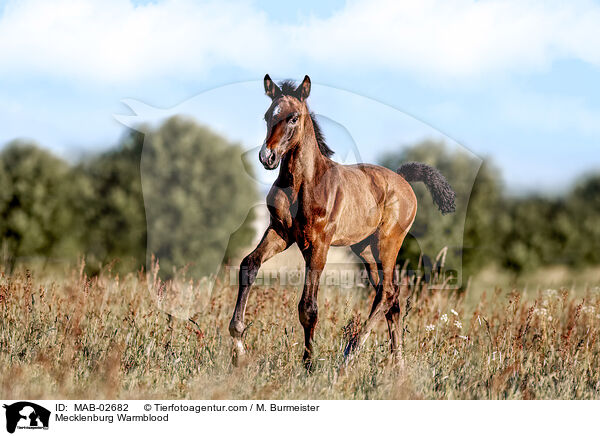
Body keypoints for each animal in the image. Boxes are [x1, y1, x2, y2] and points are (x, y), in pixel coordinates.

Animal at [230, 75, 454, 368]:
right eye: (268, 115)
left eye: (294, 118)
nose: (267, 157)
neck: (302, 183)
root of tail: (403, 179)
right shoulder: (280, 232)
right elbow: (249, 264)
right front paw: (238, 347)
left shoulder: (318, 244)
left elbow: (308, 307)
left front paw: (308, 365)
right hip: (365, 249)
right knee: (390, 296)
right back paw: (397, 364)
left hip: (388, 242)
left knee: (387, 293)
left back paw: (350, 354)